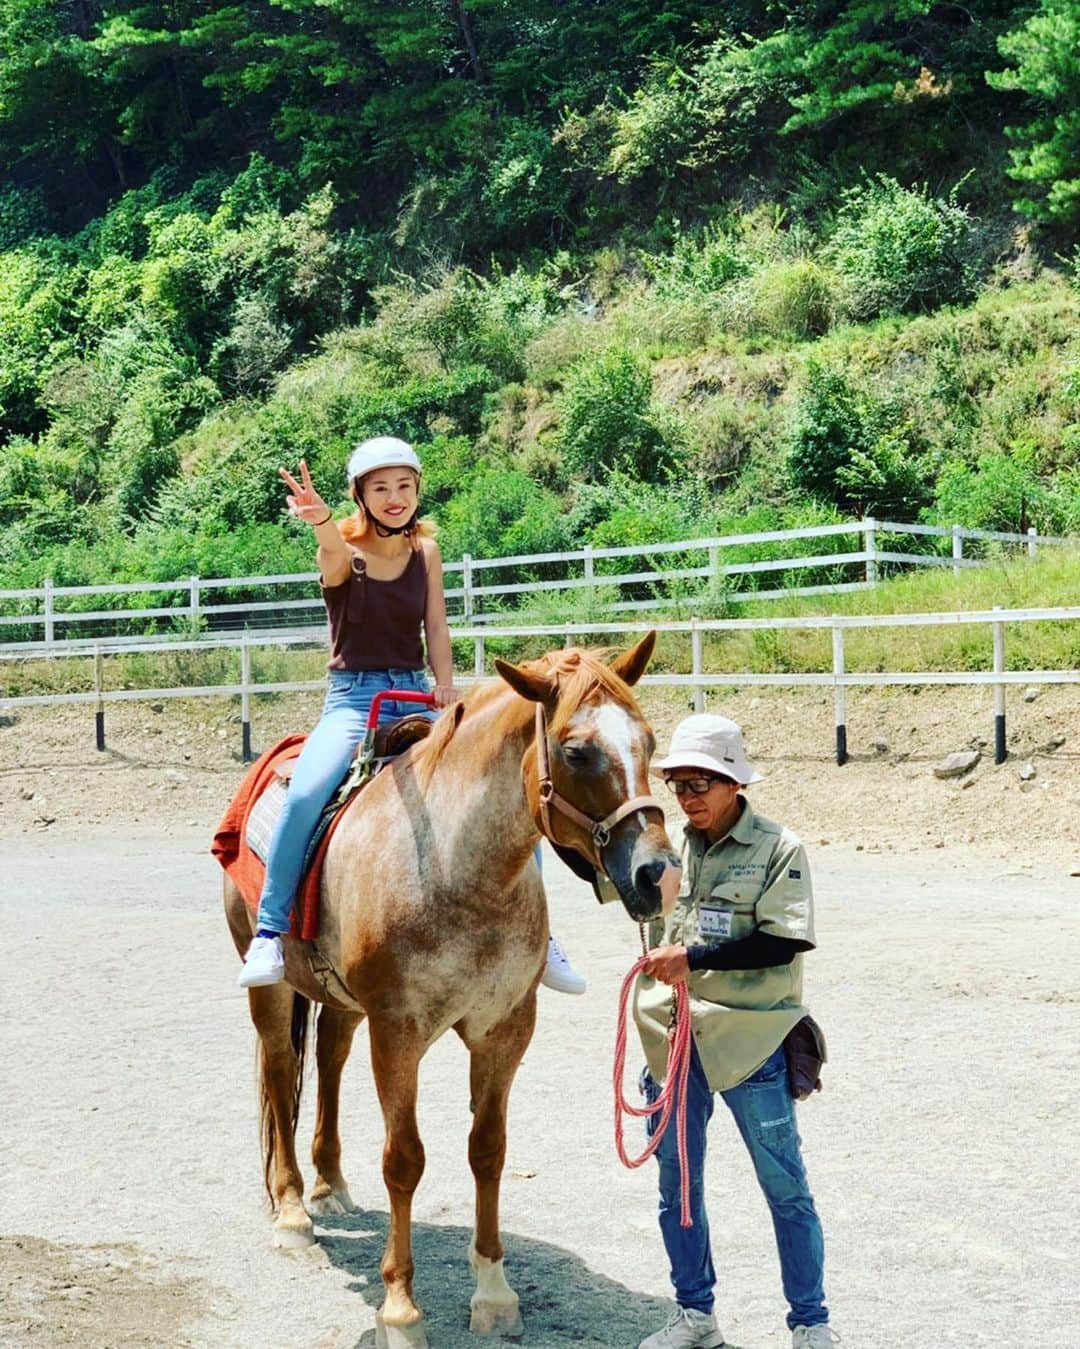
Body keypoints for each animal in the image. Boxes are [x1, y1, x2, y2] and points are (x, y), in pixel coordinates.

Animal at [223, 634, 674, 1349]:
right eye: (576, 751)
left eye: (649, 742)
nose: (656, 873)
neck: (455, 871)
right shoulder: (398, 1033)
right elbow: (404, 1160)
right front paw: (401, 1308)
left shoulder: (505, 1029)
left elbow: (487, 1151)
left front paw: (493, 1291)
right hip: (269, 988)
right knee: (279, 1068)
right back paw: (293, 1211)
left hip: (343, 1004)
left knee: (328, 1058)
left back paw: (329, 1183)